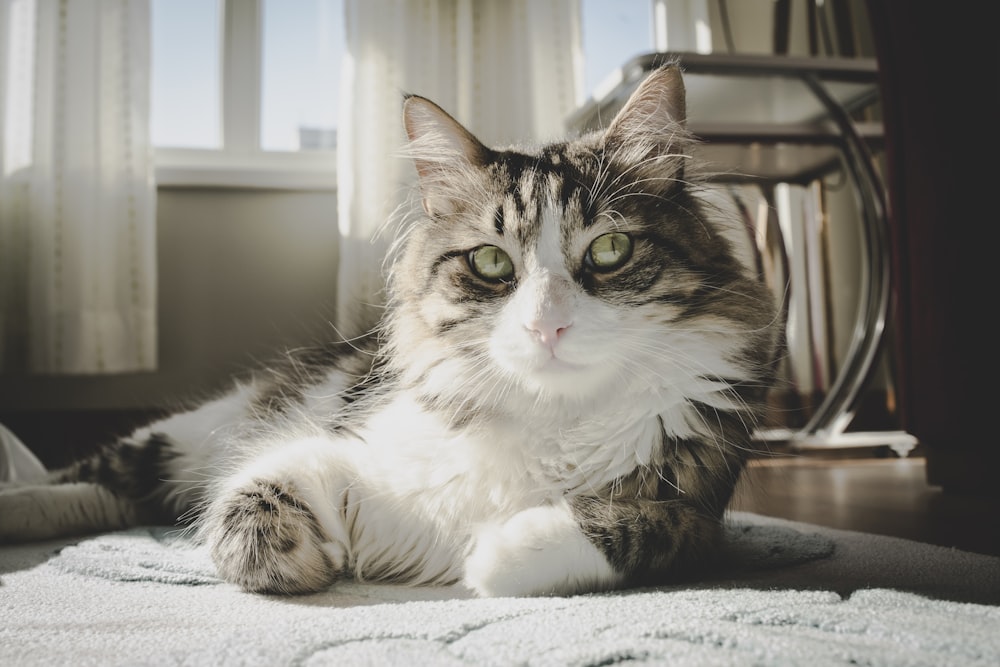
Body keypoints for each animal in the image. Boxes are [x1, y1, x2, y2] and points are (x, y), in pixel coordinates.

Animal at [0, 65, 780, 596]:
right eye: (492, 262)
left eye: (610, 251)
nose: (547, 324)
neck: (549, 417)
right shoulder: (338, 449)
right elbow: (248, 503)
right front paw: (309, 558)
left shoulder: (700, 520)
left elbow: (624, 525)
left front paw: (494, 544)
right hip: (190, 433)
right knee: (89, 479)